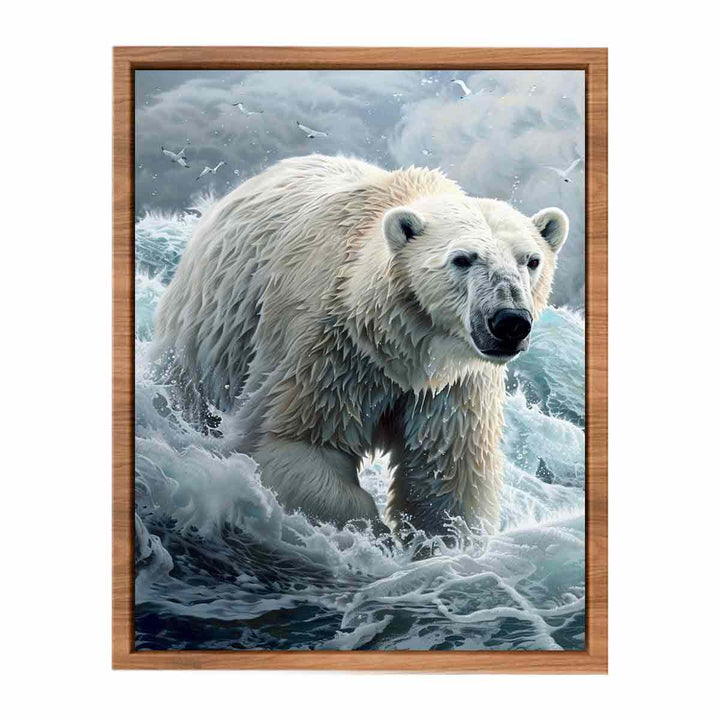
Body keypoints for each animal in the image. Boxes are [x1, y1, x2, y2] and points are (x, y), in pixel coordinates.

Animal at [152, 154, 568, 540]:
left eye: (531, 260)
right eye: (462, 259)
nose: (509, 321)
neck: (401, 344)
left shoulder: (454, 386)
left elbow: (446, 478)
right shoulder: (329, 350)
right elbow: (295, 443)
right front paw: (375, 535)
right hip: (211, 332)